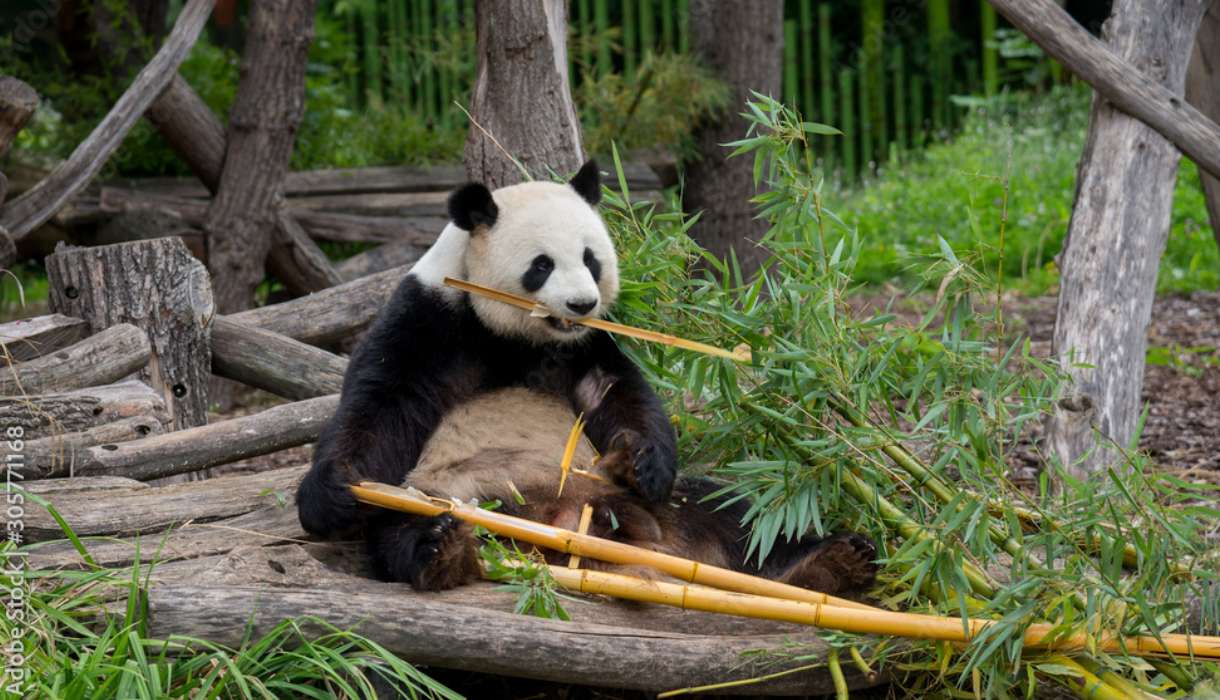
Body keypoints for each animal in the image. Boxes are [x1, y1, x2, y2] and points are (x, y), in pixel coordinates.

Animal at [295, 162, 878, 595]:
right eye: (542, 265)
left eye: (591, 258)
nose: (582, 304)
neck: (515, 334)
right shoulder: (431, 318)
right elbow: (381, 407)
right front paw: (333, 490)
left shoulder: (589, 342)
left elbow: (618, 393)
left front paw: (643, 460)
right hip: (452, 494)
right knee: (404, 524)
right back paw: (442, 550)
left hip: (656, 499)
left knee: (751, 513)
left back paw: (838, 562)